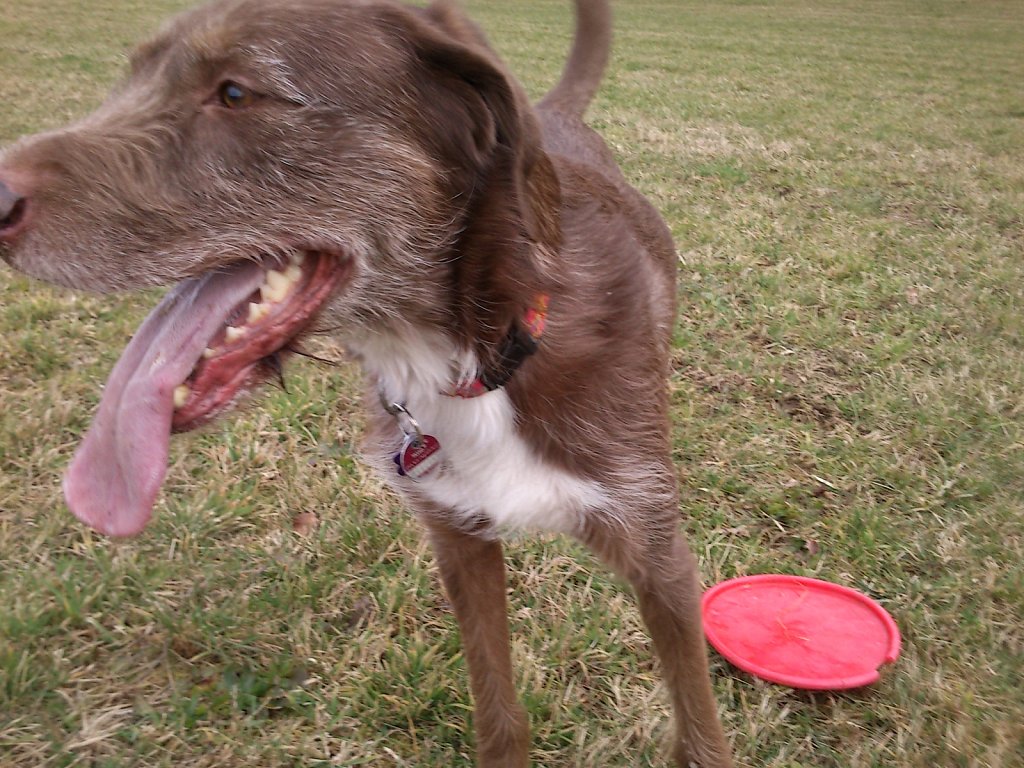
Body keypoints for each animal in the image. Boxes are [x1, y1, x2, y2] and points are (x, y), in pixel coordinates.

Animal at [0, 1, 737, 768]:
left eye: (235, 92)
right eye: (134, 76)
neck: (475, 354)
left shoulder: (658, 552)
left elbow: (699, 730)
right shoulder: (458, 539)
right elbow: (499, 710)